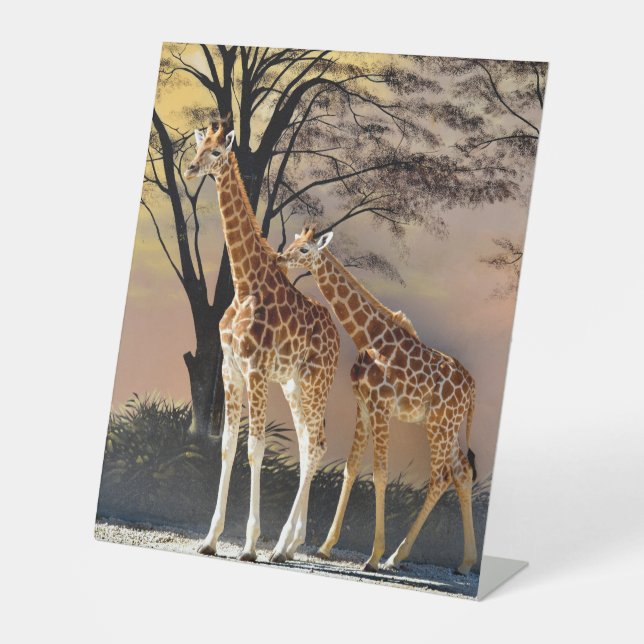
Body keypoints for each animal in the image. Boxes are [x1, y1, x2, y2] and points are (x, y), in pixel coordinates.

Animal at [184, 123, 339, 563]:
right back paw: (291, 544)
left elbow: (255, 448)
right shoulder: (230, 369)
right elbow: (226, 446)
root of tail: (339, 339)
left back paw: (281, 546)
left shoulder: (255, 369)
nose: (189, 169)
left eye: (217, 152)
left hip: (316, 383)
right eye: (197, 146)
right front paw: (210, 539)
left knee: (317, 444)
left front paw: (250, 545)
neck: (244, 283)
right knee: (307, 443)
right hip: (293, 385)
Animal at [278, 226, 478, 574]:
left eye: (304, 250)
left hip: (439, 424)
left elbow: (381, 473)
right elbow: (351, 467)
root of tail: (472, 389)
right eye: (292, 242)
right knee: (462, 473)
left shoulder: (382, 406)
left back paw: (395, 556)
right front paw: (326, 546)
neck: (367, 335)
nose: (280, 257)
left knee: (441, 477)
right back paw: (465, 562)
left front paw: (372, 556)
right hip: (447, 426)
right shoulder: (363, 405)